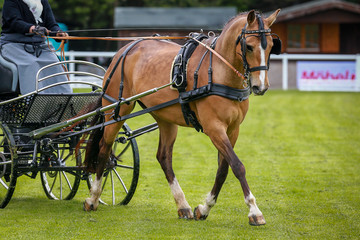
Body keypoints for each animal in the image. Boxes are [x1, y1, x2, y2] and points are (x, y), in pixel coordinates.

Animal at [83, 7, 280, 225]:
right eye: (250, 47)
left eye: (271, 46)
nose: (260, 86)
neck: (219, 72)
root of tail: (126, 48)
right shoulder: (214, 128)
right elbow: (237, 166)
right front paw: (254, 210)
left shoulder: (232, 129)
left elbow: (223, 170)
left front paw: (204, 208)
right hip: (116, 109)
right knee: (104, 149)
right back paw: (93, 198)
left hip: (165, 118)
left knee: (163, 157)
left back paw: (182, 205)